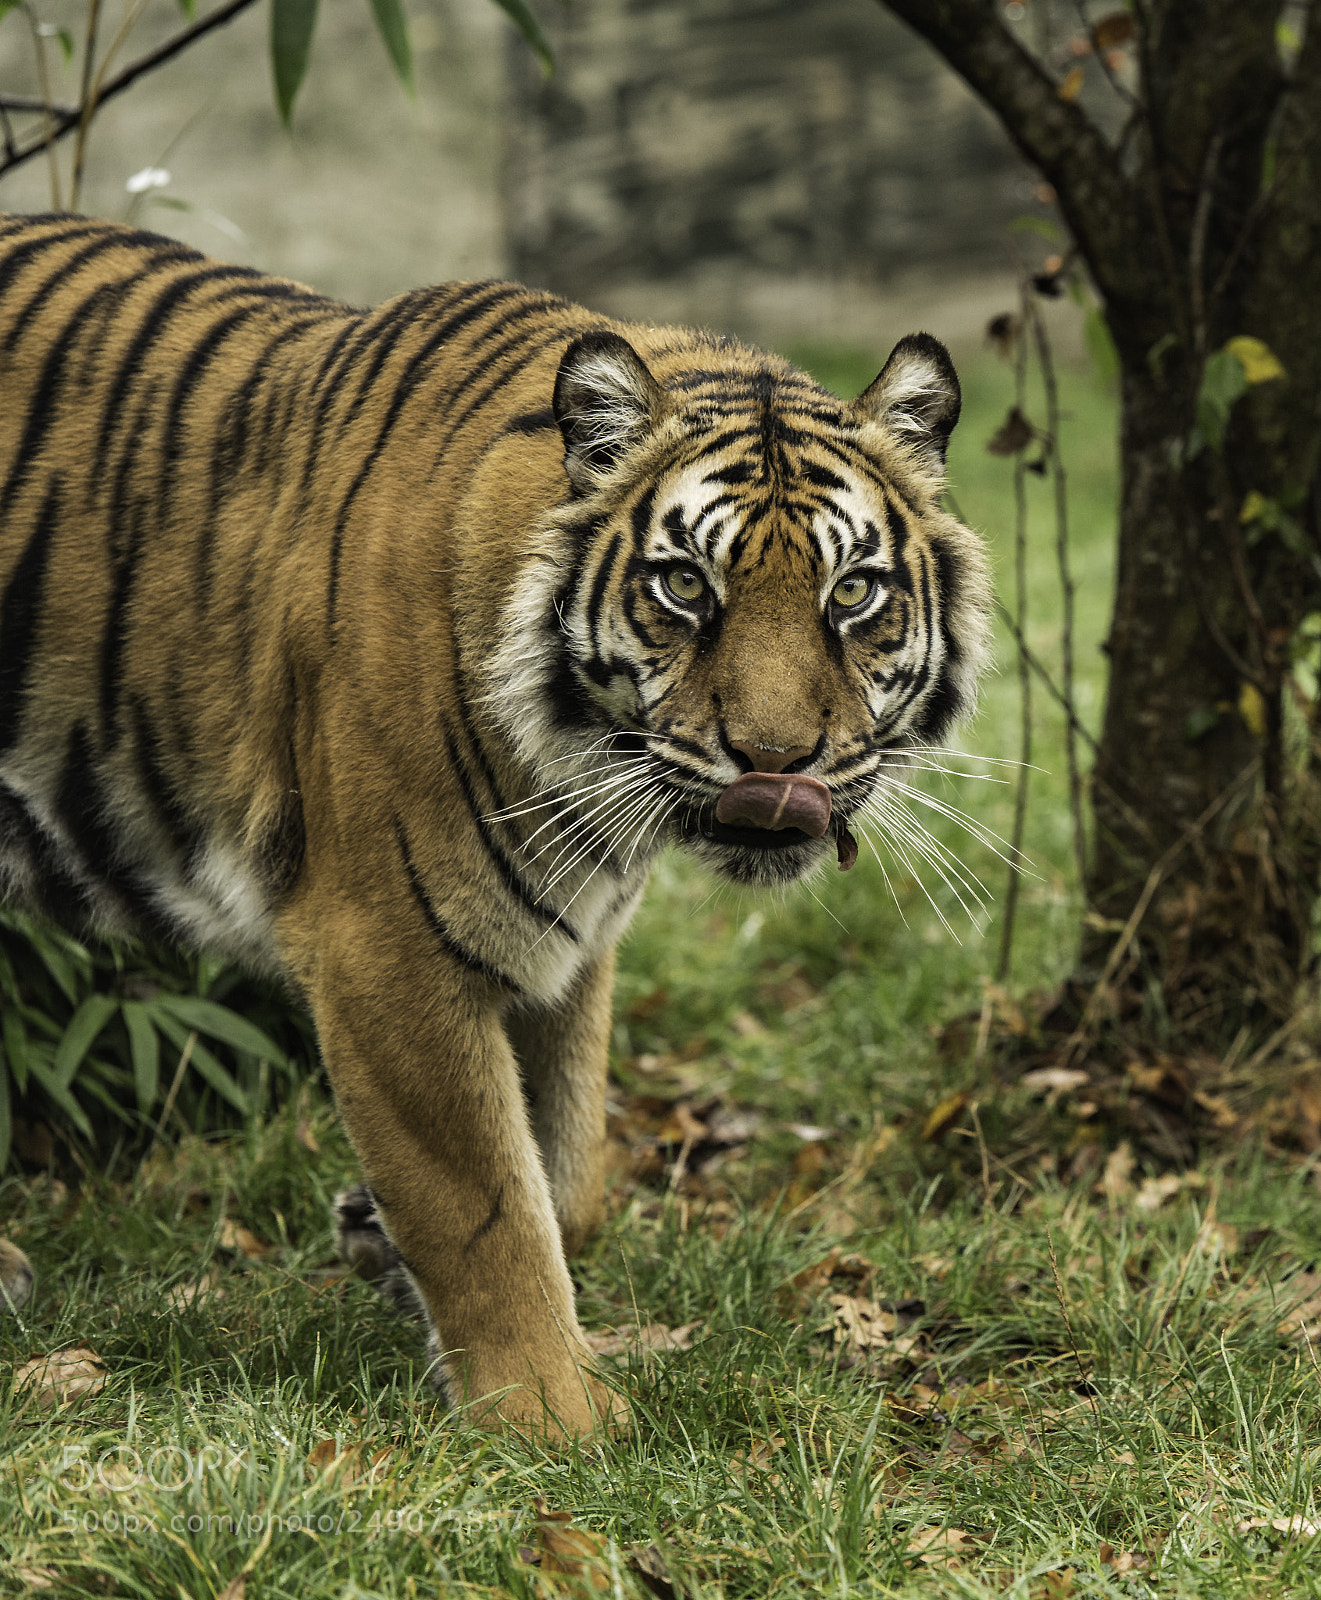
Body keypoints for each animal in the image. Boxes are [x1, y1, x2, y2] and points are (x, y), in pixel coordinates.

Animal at [0, 213, 992, 1436]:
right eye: (683, 587)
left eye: (851, 593)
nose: (776, 764)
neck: (584, 781)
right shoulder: (384, 949)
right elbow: (482, 1201)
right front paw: (556, 1423)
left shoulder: (565, 943)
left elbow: (564, 1169)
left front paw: (381, 1248)